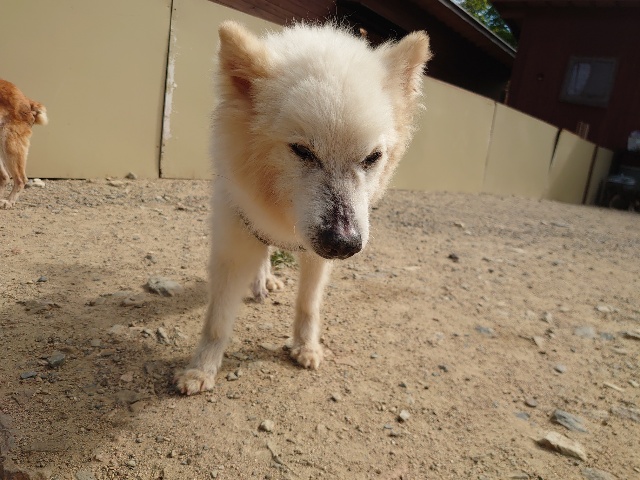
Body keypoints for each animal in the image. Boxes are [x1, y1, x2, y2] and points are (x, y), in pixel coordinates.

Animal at [175, 21, 431, 395]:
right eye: (302, 151)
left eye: (372, 158)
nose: (343, 244)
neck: (283, 212)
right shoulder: (235, 238)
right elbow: (217, 319)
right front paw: (200, 370)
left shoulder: (318, 255)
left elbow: (308, 304)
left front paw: (306, 346)